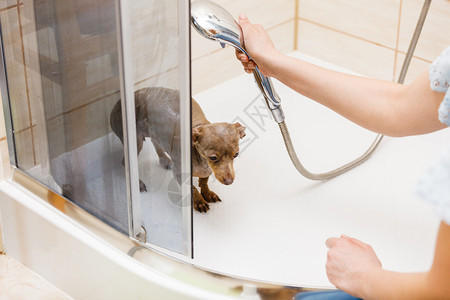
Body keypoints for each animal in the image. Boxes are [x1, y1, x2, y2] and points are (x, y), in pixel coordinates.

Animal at [110, 88, 246, 212]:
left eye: (236, 154)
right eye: (212, 157)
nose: (229, 181)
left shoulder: (207, 171)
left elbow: (203, 182)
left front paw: (207, 194)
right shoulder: (180, 173)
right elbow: (192, 189)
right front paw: (199, 202)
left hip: (155, 132)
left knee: (156, 143)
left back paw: (165, 160)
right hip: (135, 142)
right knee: (126, 163)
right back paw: (137, 183)